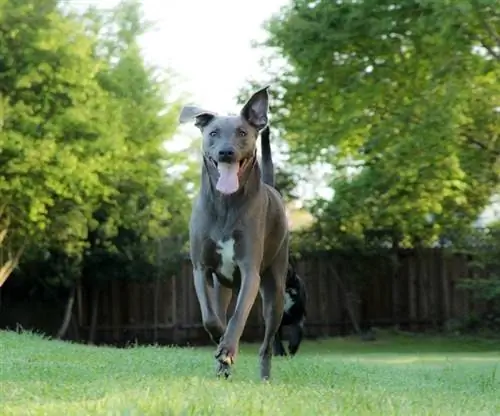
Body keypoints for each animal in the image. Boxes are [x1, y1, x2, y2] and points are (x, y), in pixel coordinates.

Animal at [180, 87, 290, 380]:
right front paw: (220, 345)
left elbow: (238, 316)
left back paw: (264, 376)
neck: (226, 204)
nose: (226, 152)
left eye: (242, 132)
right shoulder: (200, 268)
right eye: (213, 133)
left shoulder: (250, 271)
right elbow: (210, 317)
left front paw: (228, 349)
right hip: (223, 286)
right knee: (219, 310)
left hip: (275, 289)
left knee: (267, 343)